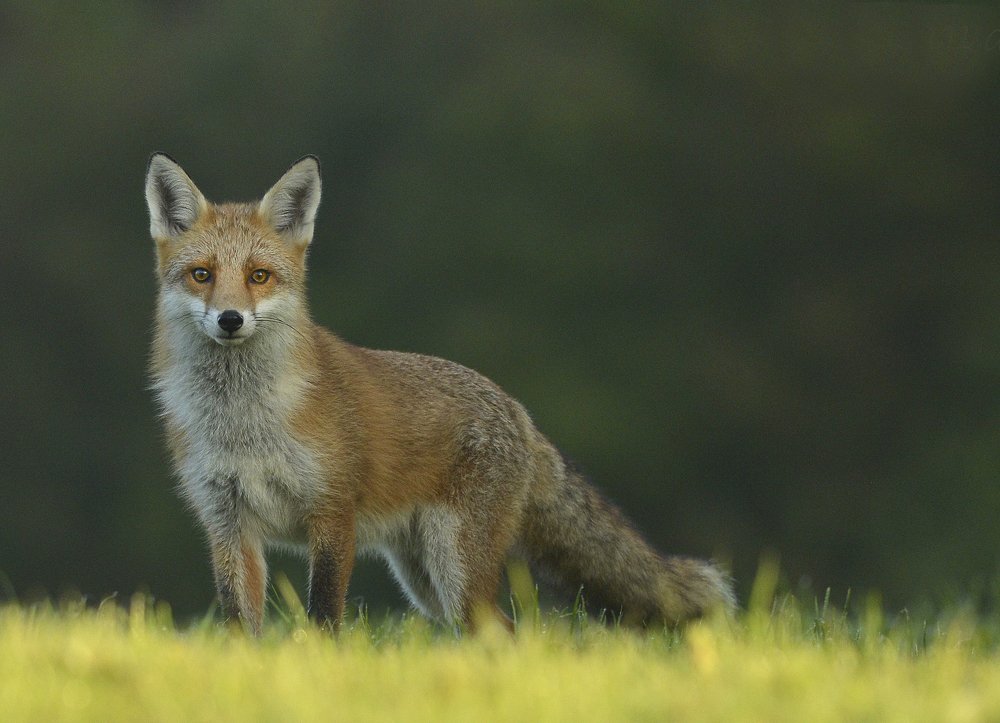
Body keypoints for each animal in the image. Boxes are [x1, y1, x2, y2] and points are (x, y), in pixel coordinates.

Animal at [144, 153, 735, 634]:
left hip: (456, 568)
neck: (243, 422)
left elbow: (323, 617)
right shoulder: (227, 522)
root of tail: (519, 413)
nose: (230, 318)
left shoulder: (332, 513)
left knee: (507, 631)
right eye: (202, 275)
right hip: (425, 580)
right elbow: (240, 626)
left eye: (259, 276)